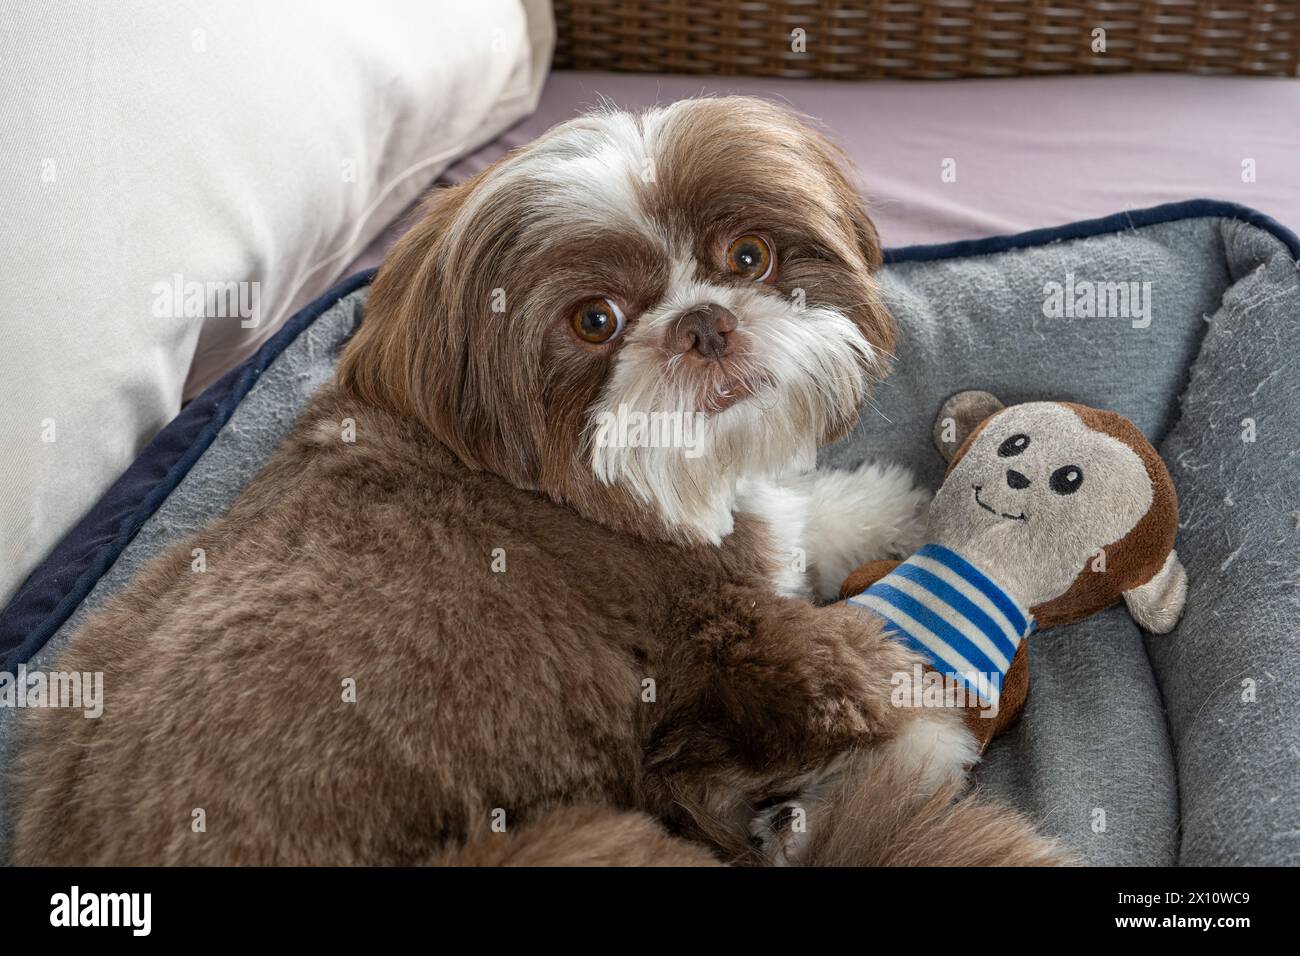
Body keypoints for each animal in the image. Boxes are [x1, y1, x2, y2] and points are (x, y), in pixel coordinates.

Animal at [12, 98, 1066, 868]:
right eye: (595, 321)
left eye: (750, 256)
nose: (704, 324)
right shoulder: (736, 634)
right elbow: (866, 680)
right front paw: (928, 741)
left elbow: (798, 517)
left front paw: (885, 505)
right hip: (568, 841)